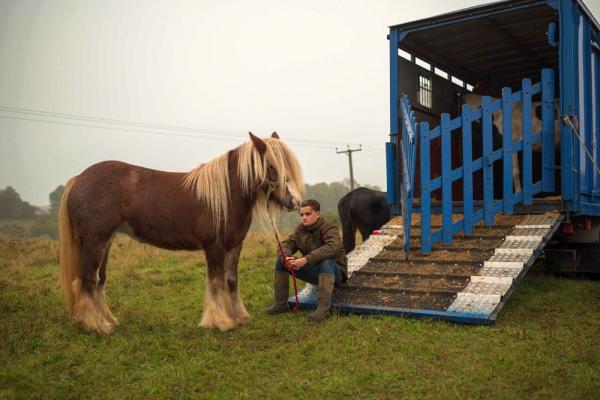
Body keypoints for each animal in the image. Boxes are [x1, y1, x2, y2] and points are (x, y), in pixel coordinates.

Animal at [58, 132, 304, 334]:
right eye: (271, 166)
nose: (294, 201)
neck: (226, 194)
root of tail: (78, 179)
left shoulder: (234, 246)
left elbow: (231, 281)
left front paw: (240, 317)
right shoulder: (214, 247)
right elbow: (216, 282)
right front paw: (221, 322)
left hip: (105, 242)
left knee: (98, 280)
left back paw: (108, 321)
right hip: (94, 242)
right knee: (87, 280)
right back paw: (97, 325)